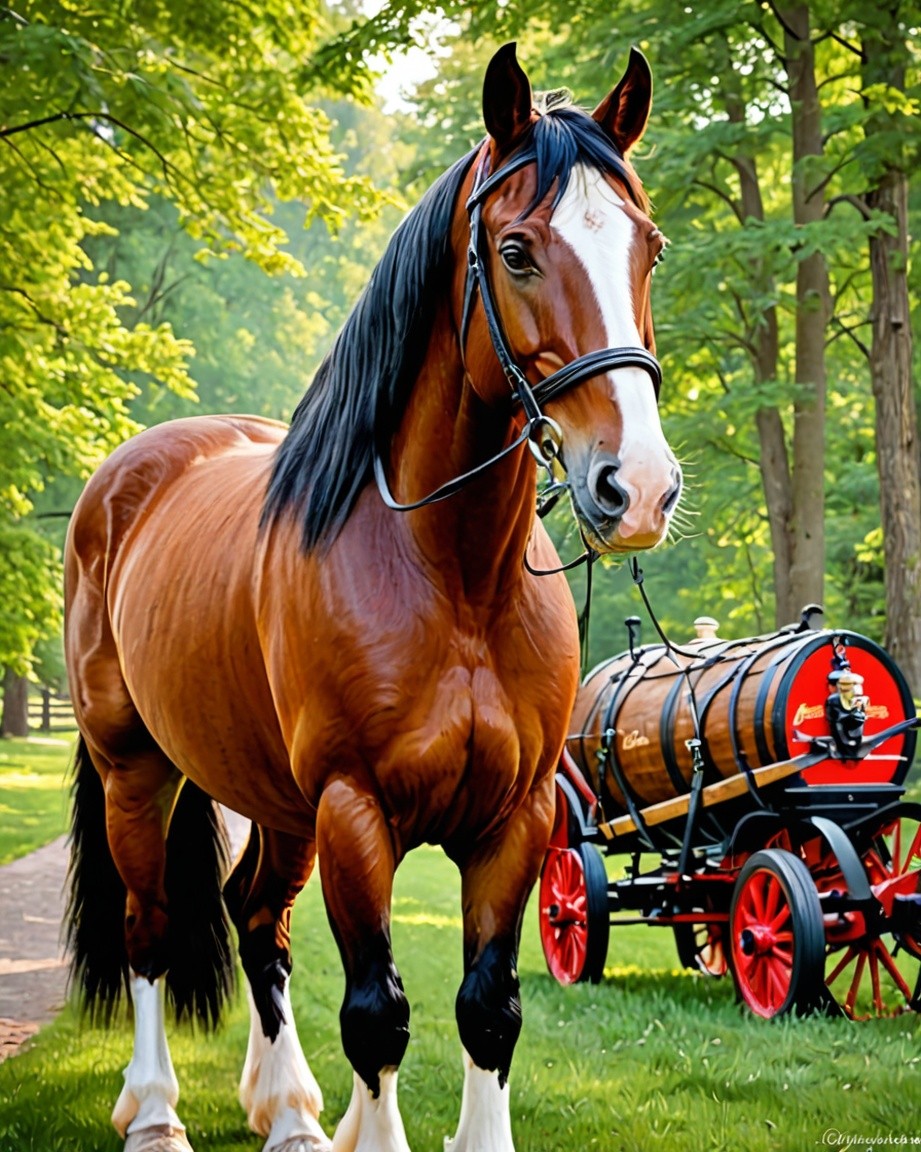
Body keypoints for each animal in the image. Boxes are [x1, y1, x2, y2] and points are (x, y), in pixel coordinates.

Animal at [64, 42, 680, 1152]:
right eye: (516, 251)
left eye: (646, 247)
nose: (638, 486)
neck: (450, 577)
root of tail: (127, 481)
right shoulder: (356, 811)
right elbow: (377, 1013)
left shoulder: (514, 819)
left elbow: (488, 1007)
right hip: (137, 767)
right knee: (151, 928)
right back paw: (156, 1111)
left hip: (276, 802)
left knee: (255, 918)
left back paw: (290, 1111)